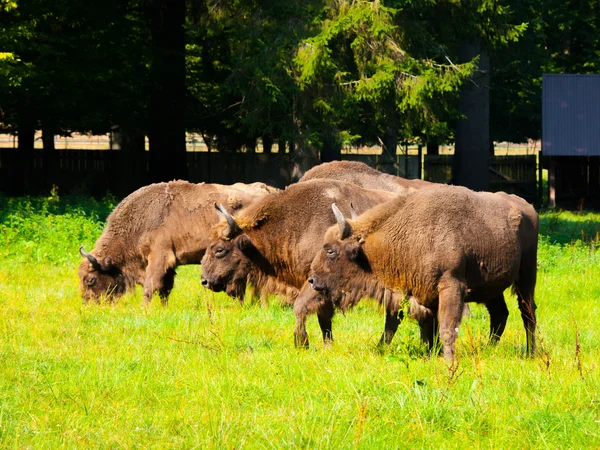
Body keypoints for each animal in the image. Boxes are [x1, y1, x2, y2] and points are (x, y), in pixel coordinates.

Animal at [78, 179, 278, 306]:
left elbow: (151, 286)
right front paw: (163, 308)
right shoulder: (169, 264)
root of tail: (268, 190)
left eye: (90, 279)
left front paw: (144, 310)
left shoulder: (159, 257)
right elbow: (164, 289)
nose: (87, 303)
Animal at [199, 179, 400, 342]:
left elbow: (301, 306)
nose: (205, 281)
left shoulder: (316, 281)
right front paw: (327, 345)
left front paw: (301, 341)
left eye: (219, 250)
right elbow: (323, 318)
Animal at [304, 185, 540, 360]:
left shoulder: (451, 286)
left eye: (331, 250)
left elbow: (446, 327)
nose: (313, 280)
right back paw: (488, 349)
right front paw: (430, 355)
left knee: (527, 313)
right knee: (500, 314)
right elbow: (422, 326)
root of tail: (528, 208)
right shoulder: (421, 293)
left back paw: (531, 353)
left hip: (526, 276)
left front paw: (448, 361)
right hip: (491, 288)